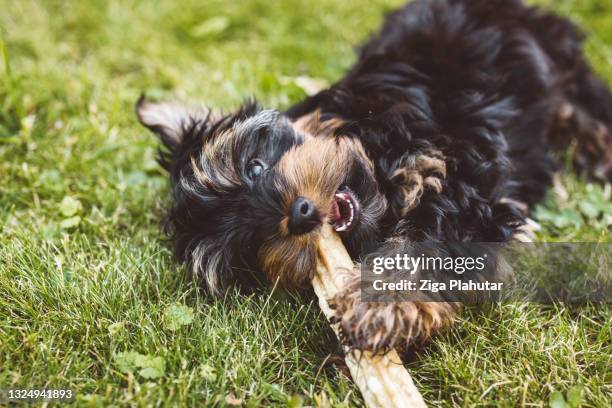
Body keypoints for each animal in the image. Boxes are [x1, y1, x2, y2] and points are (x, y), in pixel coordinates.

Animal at [137, 0, 612, 350]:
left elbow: (423, 238)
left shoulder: (453, 168)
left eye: (254, 167)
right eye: (248, 246)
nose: (299, 214)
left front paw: (378, 305)